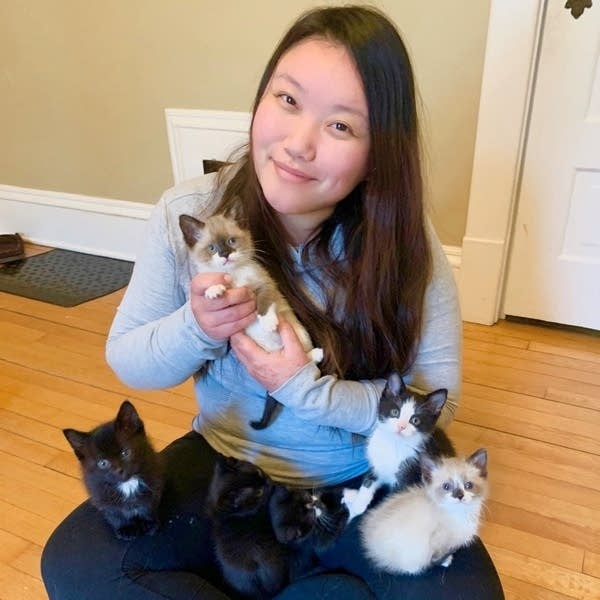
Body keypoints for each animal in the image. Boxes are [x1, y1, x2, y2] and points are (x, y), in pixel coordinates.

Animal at [62, 400, 164, 540]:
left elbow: (148, 505)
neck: (127, 485)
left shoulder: (154, 483)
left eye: (125, 452)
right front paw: (126, 528)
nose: (119, 470)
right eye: (103, 463)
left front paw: (149, 523)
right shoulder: (100, 495)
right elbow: (114, 513)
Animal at [179, 213, 324, 428]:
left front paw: (269, 322)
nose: (225, 255)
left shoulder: (264, 285)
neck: (233, 274)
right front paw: (214, 291)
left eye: (231, 241)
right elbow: (212, 283)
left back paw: (317, 353)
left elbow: (264, 303)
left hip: (300, 334)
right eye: (212, 248)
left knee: (303, 358)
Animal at [344, 372, 452, 524]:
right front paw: (358, 504)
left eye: (415, 420)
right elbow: (368, 481)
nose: (401, 427)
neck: (394, 444)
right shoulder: (377, 463)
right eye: (395, 412)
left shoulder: (408, 478)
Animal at [358, 448, 490, 576]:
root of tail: (369, 543)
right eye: (446, 487)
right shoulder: (436, 542)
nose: (459, 495)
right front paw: (446, 560)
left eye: (468, 485)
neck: (461, 513)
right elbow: (437, 555)